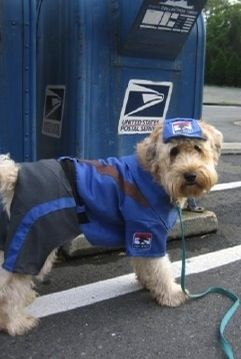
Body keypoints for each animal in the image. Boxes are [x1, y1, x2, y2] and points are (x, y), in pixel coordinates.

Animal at [0, 119, 223, 338]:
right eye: (174, 151)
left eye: (197, 148)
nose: (190, 175)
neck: (154, 176)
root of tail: (16, 174)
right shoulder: (147, 233)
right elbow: (161, 268)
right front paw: (171, 293)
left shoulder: (137, 235)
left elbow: (145, 265)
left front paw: (147, 283)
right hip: (34, 242)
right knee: (11, 284)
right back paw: (15, 322)